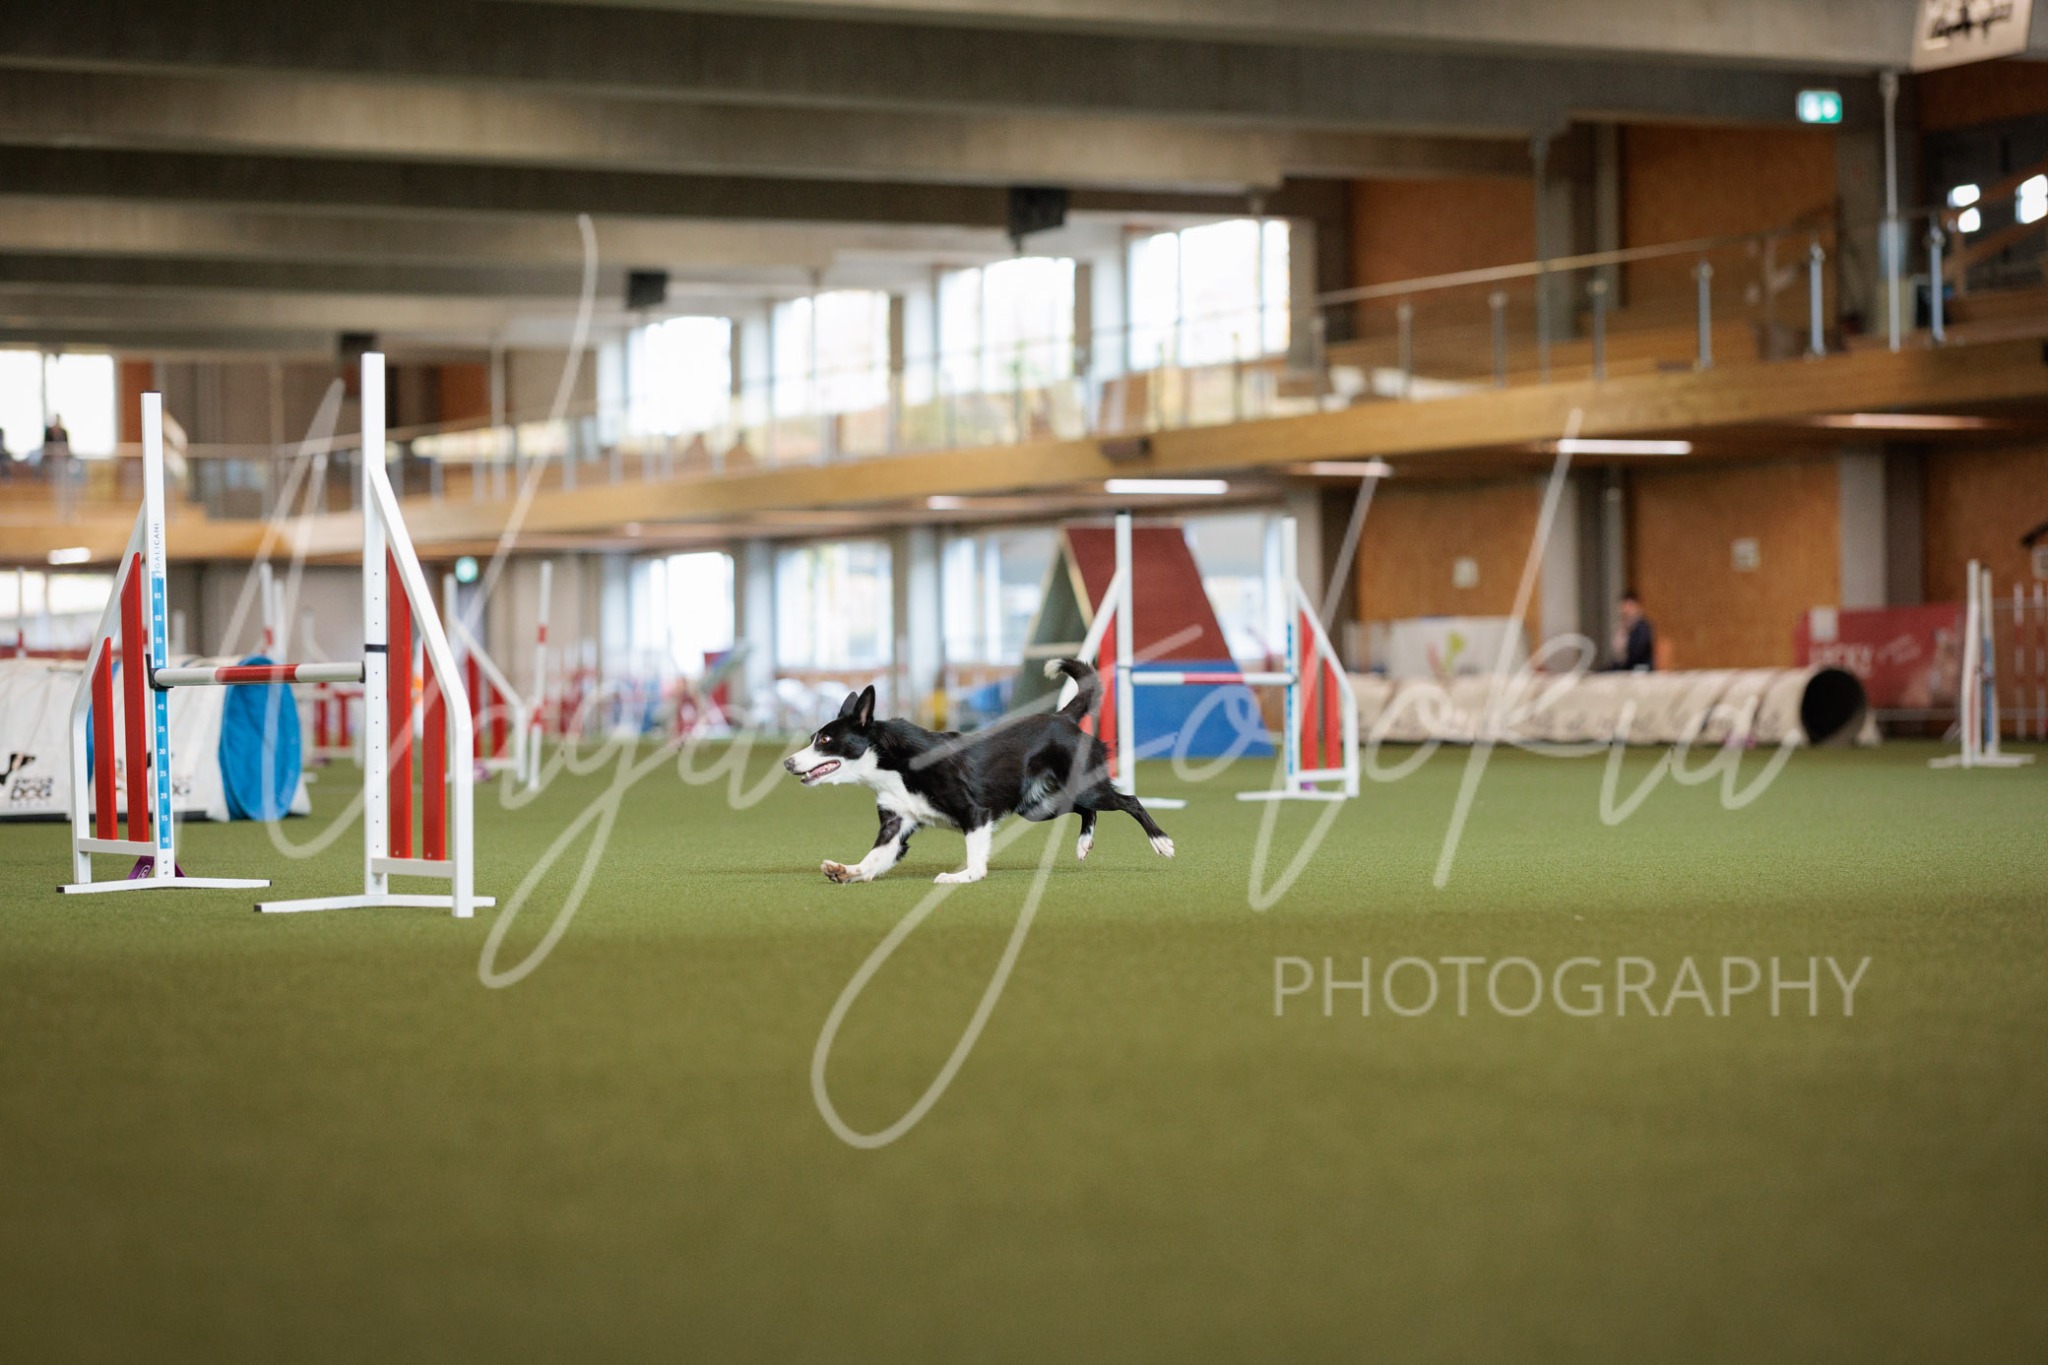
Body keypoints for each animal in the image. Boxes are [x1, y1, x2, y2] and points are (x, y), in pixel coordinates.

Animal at [782, 659, 1174, 884]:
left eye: (826, 740)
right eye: (813, 738)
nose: (787, 763)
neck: (892, 766)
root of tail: (1063, 717)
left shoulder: (974, 812)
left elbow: (974, 853)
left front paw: (964, 876)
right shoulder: (896, 823)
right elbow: (874, 857)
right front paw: (846, 871)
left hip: (1081, 786)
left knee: (1128, 800)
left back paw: (1161, 842)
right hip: (1038, 805)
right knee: (1086, 810)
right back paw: (1083, 844)